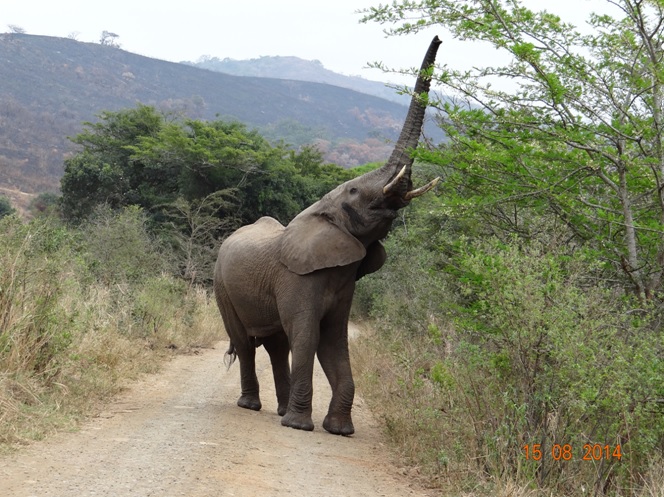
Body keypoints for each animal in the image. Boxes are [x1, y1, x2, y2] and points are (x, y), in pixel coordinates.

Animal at [213, 35, 440, 434]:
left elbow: (334, 340)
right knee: (245, 343)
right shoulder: (298, 277)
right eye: (353, 191)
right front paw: (300, 426)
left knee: (275, 345)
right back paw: (252, 406)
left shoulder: (343, 280)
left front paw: (339, 430)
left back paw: (279, 410)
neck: (321, 211)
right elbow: (308, 336)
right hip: (221, 286)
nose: (440, 37)